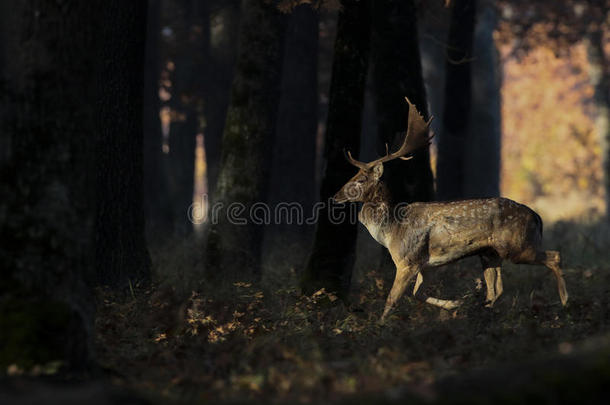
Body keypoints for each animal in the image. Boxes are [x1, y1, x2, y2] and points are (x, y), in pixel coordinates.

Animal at [332, 96, 564, 320]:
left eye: (361, 179)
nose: (336, 196)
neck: (390, 231)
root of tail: (537, 216)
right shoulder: (427, 265)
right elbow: (418, 293)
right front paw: (455, 303)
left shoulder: (407, 260)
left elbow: (392, 299)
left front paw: (381, 325)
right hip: (490, 253)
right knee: (496, 290)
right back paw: (479, 310)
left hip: (516, 246)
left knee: (554, 256)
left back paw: (564, 301)